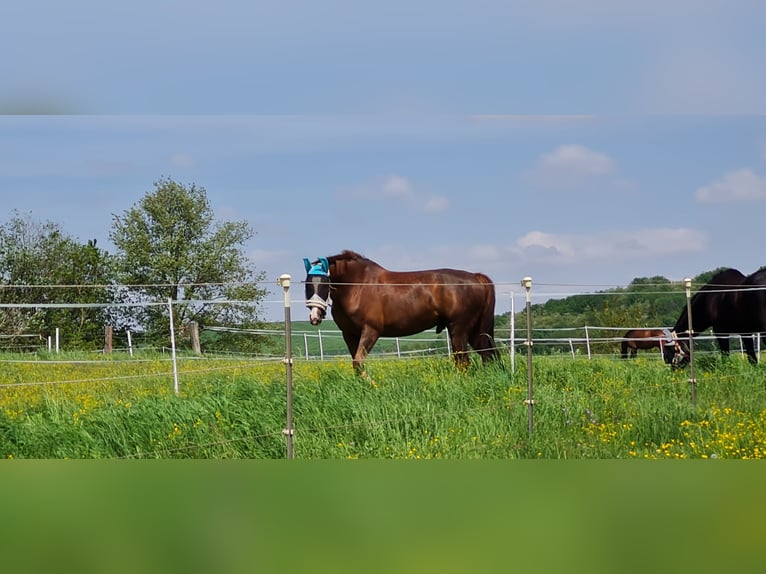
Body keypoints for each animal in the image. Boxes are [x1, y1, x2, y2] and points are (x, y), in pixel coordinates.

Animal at [303, 250, 500, 374]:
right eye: (307, 283)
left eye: (324, 283)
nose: (315, 316)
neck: (357, 286)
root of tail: (476, 277)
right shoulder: (349, 334)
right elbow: (356, 364)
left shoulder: (371, 330)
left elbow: (359, 361)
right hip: (473, 331)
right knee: (485, 354)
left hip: (459, 329)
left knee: (463, 361)